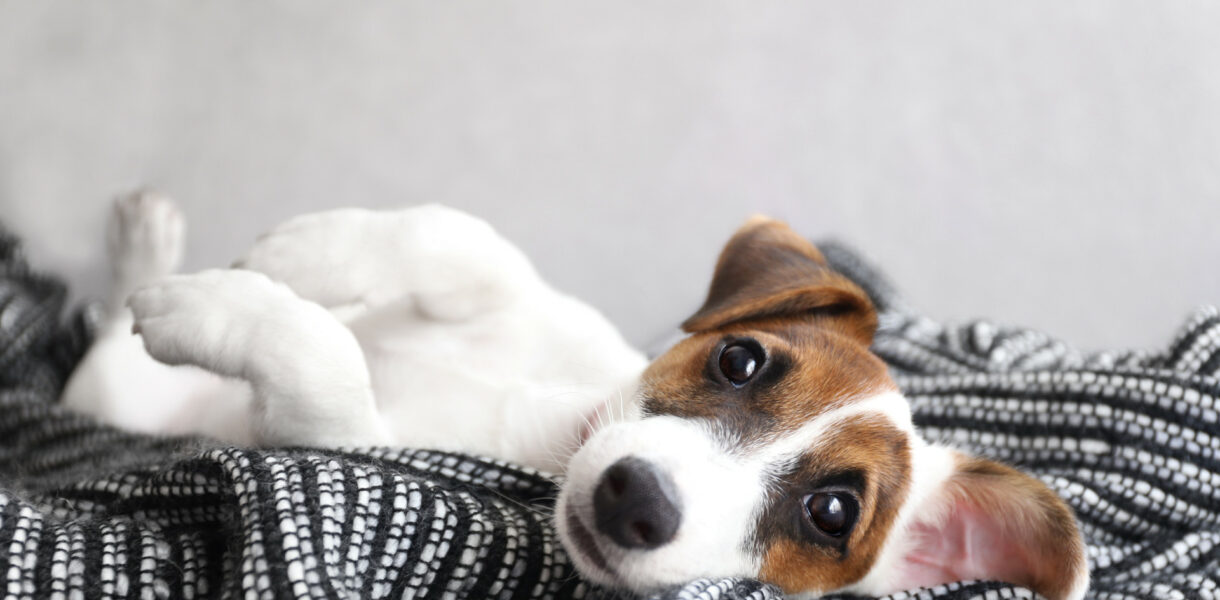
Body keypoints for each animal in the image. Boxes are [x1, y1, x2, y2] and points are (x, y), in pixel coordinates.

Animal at [59, 192, 1088, 600]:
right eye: (740, 362)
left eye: (832, 513)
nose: (637, 500)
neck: (553, 432)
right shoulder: (519, 296)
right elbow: (457, 239)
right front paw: (309, 253)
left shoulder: (334, 434)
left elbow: (325, 359)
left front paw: (221, 304)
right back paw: (149, 241)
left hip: (115, 394)